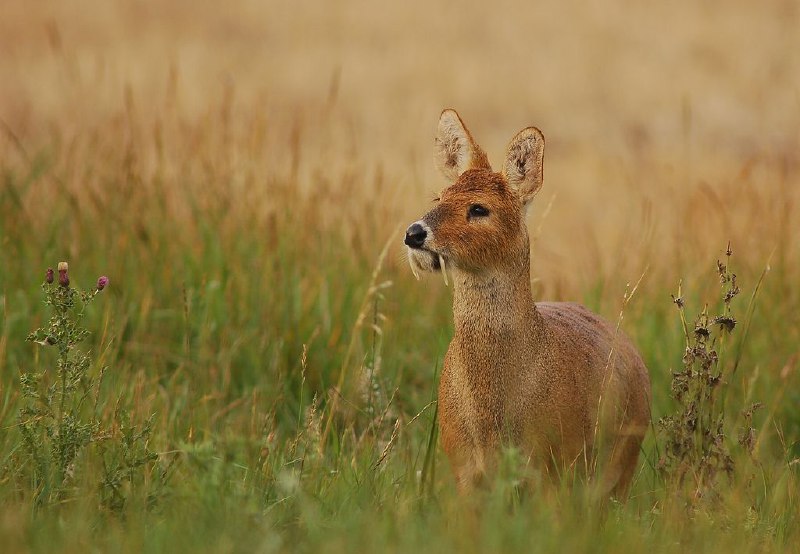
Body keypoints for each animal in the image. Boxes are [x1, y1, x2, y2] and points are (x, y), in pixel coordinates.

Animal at [406, 109, 648, 496]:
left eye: (479, 208)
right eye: (439, 198)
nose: (413, 234)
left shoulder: (551, 462)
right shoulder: (460, 464)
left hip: (621, 462)